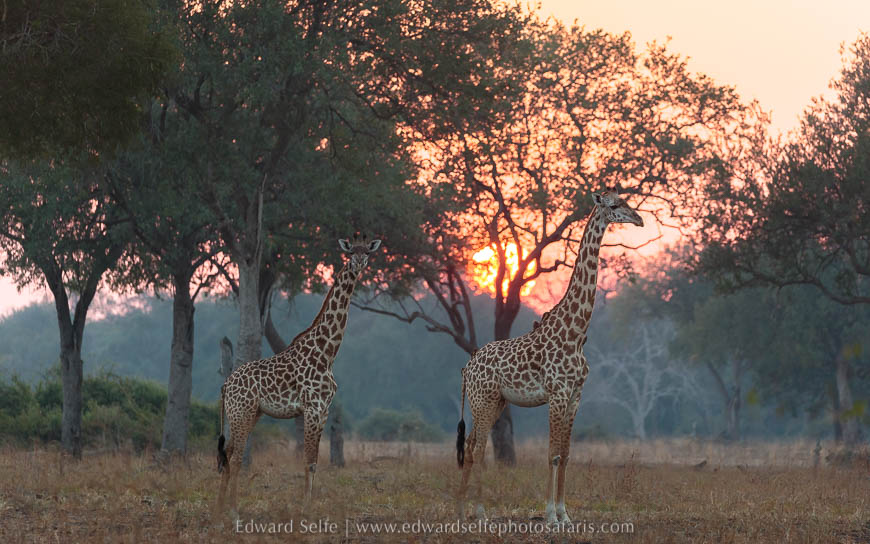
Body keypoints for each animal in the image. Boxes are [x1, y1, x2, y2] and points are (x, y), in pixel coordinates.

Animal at [216, 235, 381, 517]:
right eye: (351, 253)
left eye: (367, 253)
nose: (359, 263)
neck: (327, 352)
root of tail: (226, 384)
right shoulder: (312, 407)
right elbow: (308, 461)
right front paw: (305, 508)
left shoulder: (324, 409)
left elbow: (314, 461)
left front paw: (309, 505)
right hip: (242, 412)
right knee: (235, 457)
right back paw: (233, 510)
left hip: (249, 413)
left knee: (227, 453)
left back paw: (221, 507)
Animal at [455, 190, 643, 525]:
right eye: (614, 205)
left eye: (625, 200)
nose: (639, 219)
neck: (576, 333)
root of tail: (467, 366)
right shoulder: (557, 393)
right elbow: (552, 453)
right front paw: (550, 515)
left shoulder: (576, 395)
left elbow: (566, 455)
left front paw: (565, 515)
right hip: (482, 401)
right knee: (477, 448)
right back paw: (478, 512)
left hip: (495, 402)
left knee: (472, 443)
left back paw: (465, 510)